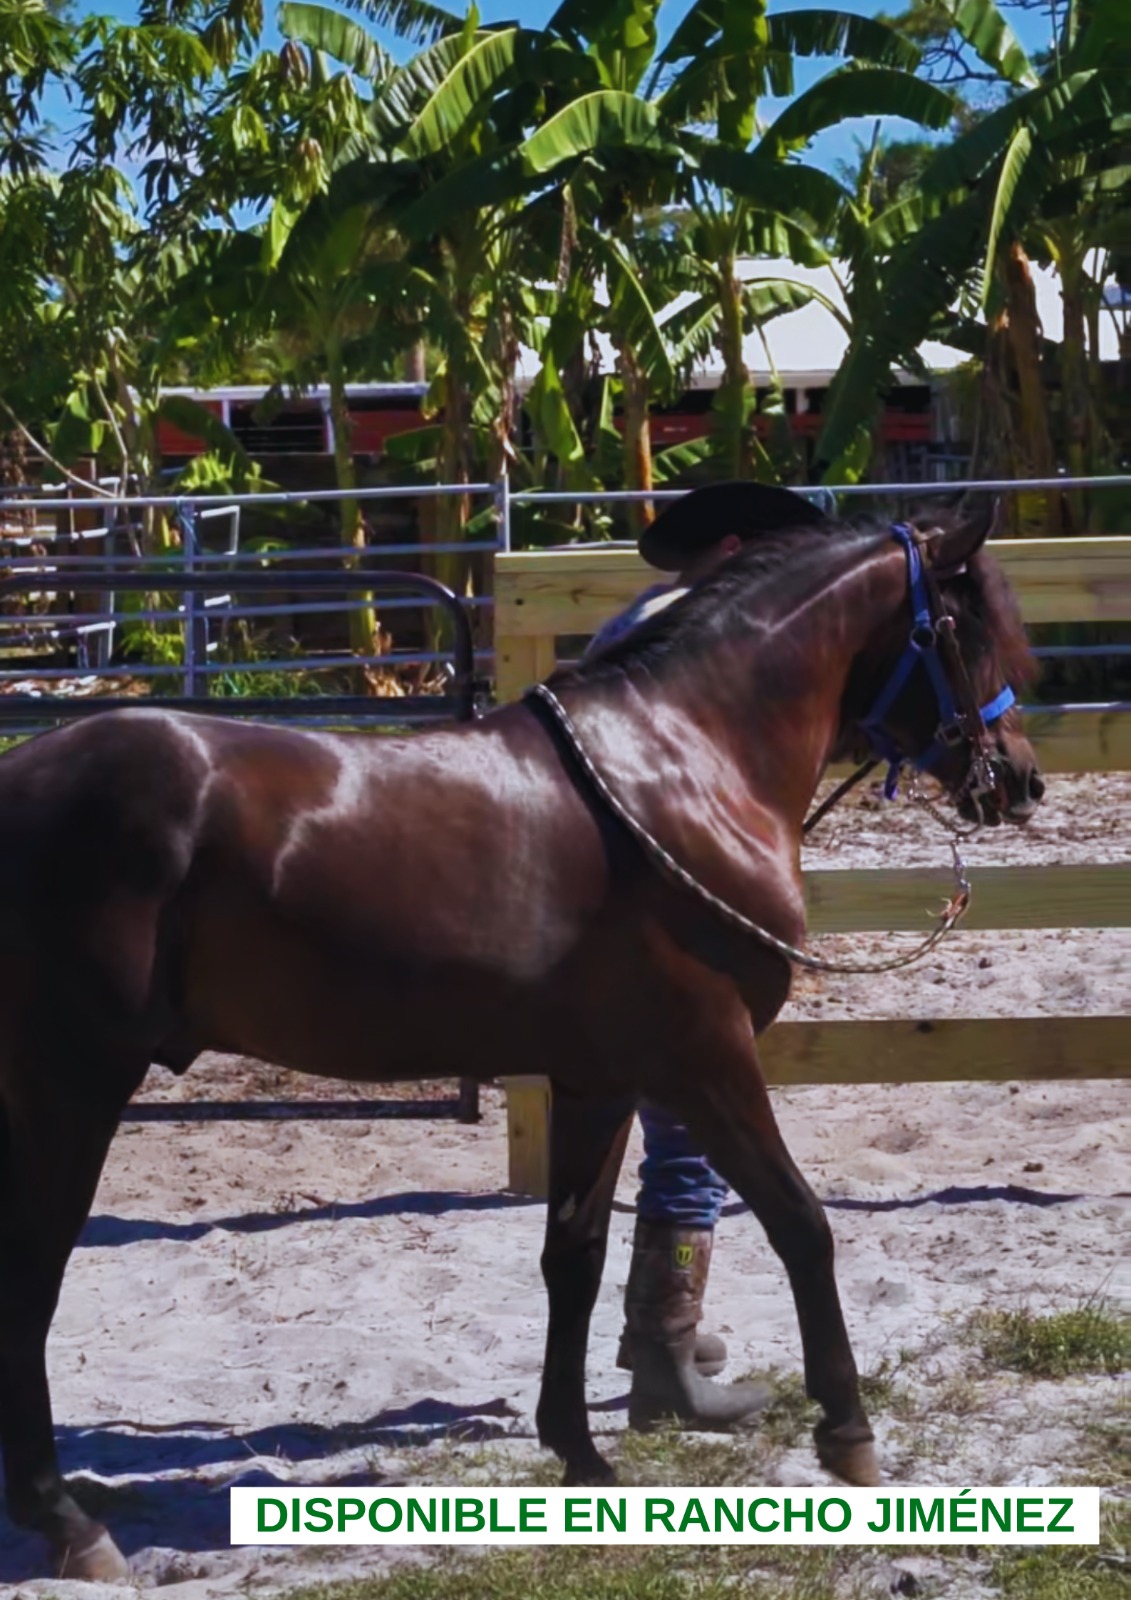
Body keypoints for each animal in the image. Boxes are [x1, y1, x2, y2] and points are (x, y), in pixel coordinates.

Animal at [0, 504, 1042, 1579]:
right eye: (964, 629)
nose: (1017, 780)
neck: (686, 765)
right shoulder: (705, 1061)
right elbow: (802, 1224)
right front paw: (848, 1436)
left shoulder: (599, 1079)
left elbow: (572, 1256)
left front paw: (580, 1455)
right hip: (74, 1083)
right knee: (29, 1278)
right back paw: (69, 1523)